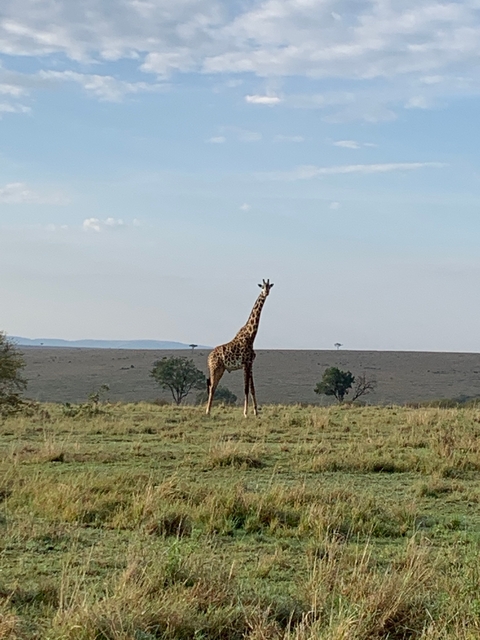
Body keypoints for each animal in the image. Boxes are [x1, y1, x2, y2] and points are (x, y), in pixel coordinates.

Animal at [206, 279, 274, 417]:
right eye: (262, 287)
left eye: (269, 286)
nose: (266, 293)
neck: (251, 336)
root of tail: (208, 358)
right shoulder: (245, 363)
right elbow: (246, 388)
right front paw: (245, 413)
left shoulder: (250, 364)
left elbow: (252, 388)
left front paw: (256, 412)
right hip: (215, 368)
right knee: (211, 386)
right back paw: (207, 411)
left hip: (221, 369)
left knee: (212, 386)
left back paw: (208, 411)